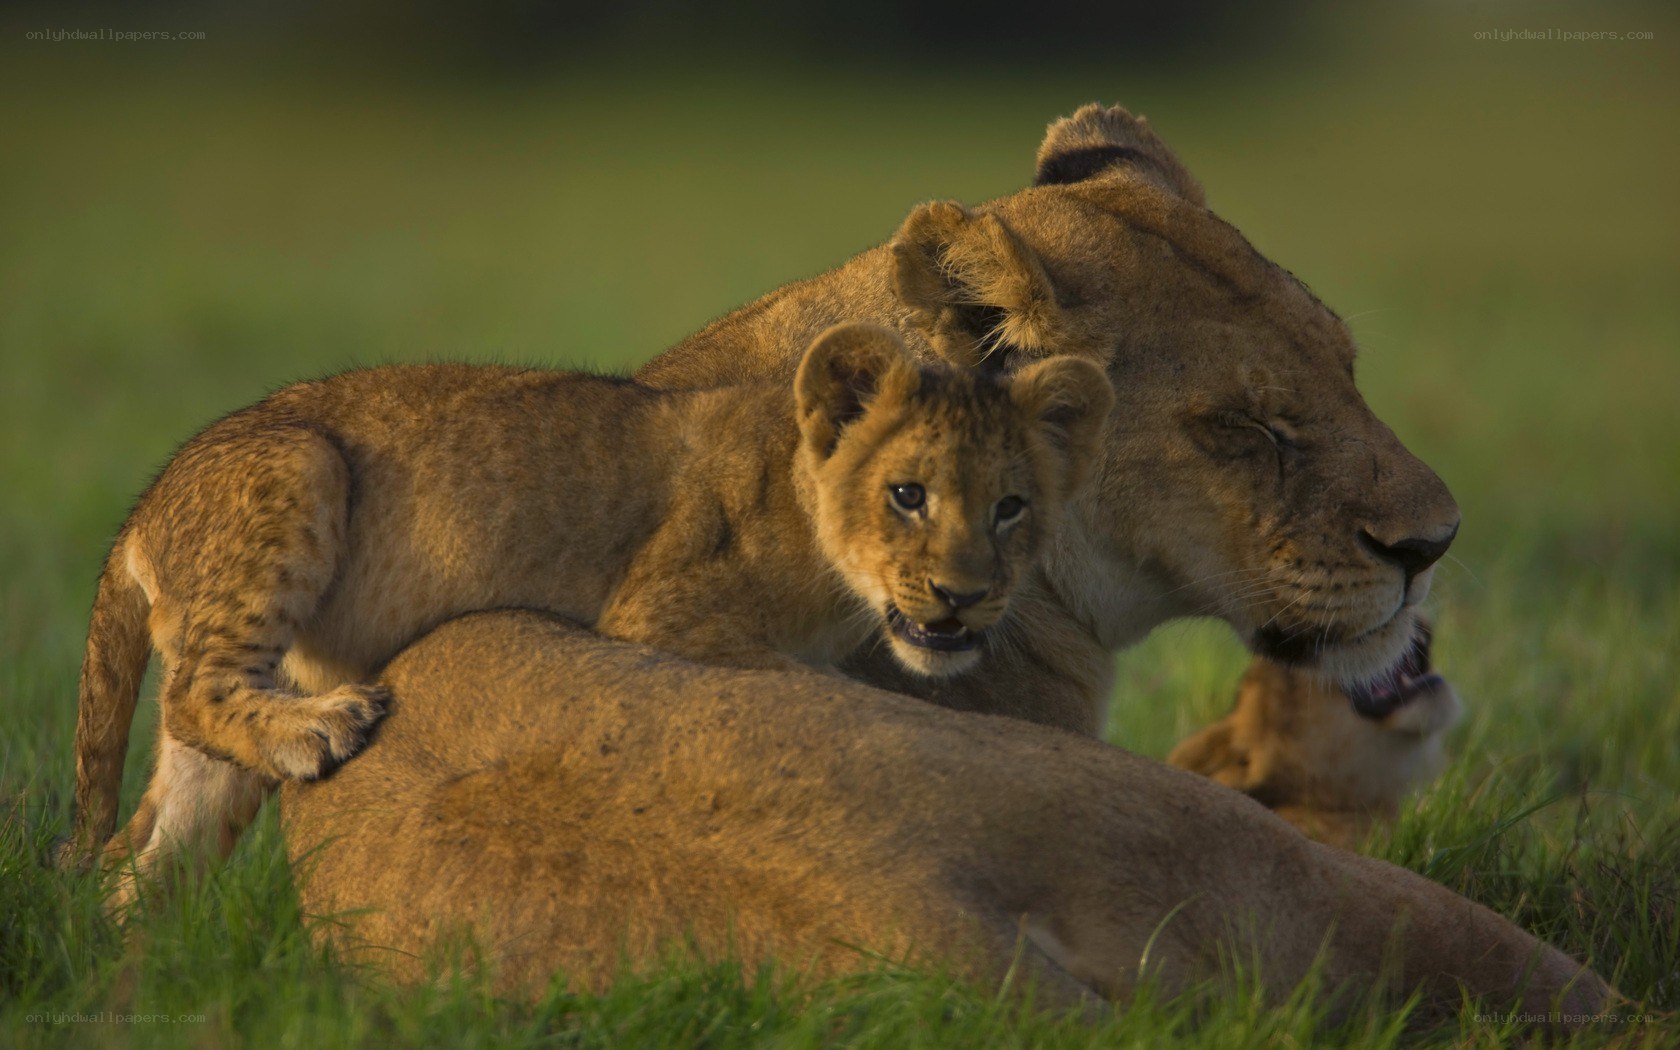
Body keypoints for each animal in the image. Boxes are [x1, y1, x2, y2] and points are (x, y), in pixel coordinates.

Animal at [60, 323, 1111, 897]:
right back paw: (323, 727)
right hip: (300, 464)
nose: (965, 598)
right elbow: (806, 679)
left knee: (140, 856)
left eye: (1012, 507)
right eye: (907, 496)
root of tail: (141, 509)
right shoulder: (661, 613)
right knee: (193, 692)